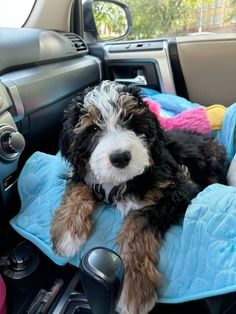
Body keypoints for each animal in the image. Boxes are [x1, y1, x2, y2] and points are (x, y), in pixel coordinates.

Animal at [50, 81, 229, 314]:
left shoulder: (181, 187)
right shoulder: (87, 175)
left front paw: (135, 287)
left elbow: (137, 222)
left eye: (131, 121)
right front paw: (66, 231)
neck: (123, 180)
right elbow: (78, 187)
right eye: (93, 129)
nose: (120, 157)